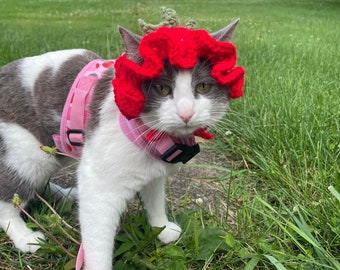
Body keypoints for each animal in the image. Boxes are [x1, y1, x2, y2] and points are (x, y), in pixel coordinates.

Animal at [0, 18, 244, 268]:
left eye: (203, 86)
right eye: (162, 88)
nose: (186, 113)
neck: (150, 134)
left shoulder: (153, 167)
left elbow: (155, 197)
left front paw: (162, 227)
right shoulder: (99, 180)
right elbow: (98, 238)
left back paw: (66, 194)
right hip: (25, 153)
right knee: (7, 200)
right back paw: (25, 237)